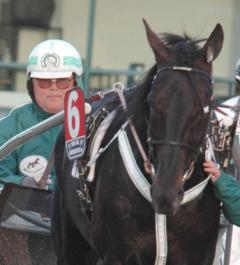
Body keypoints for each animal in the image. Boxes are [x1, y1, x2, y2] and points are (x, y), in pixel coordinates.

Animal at [51, 20, 224, 264]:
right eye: (152, 102)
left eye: (205, 107)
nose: (165, 195)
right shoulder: (116, 253)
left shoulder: (197, 254)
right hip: (72, 240)